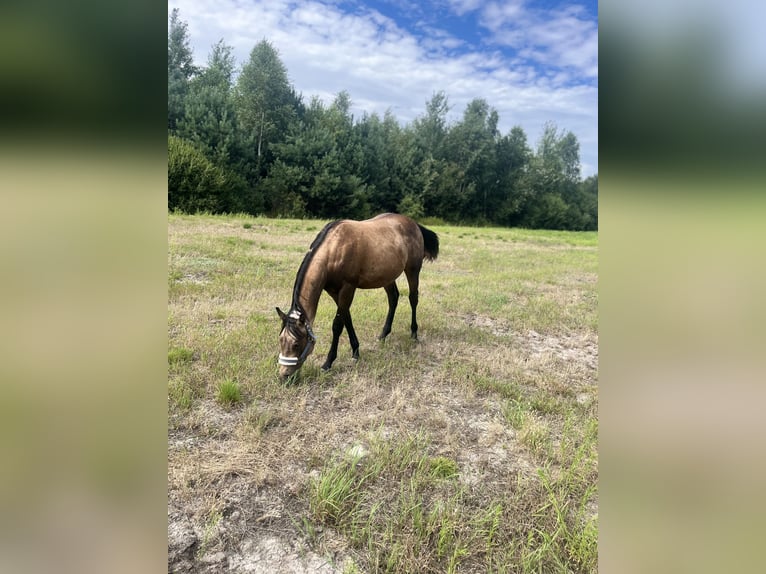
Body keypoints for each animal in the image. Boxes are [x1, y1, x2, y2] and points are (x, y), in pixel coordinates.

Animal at [276, 213, 439, 380]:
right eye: (281, 341)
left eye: (296, 344)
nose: (283, 375)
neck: (334, 249)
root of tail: (414, 224)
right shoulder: (334, 292)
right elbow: (347, 319)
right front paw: (355, 351)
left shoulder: (348, 288)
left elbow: (337, 325)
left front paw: (328, 362)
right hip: (387, 277)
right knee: (393, 298)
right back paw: (383, 334)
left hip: (413, 270)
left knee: (413, 298)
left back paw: (414, 333)